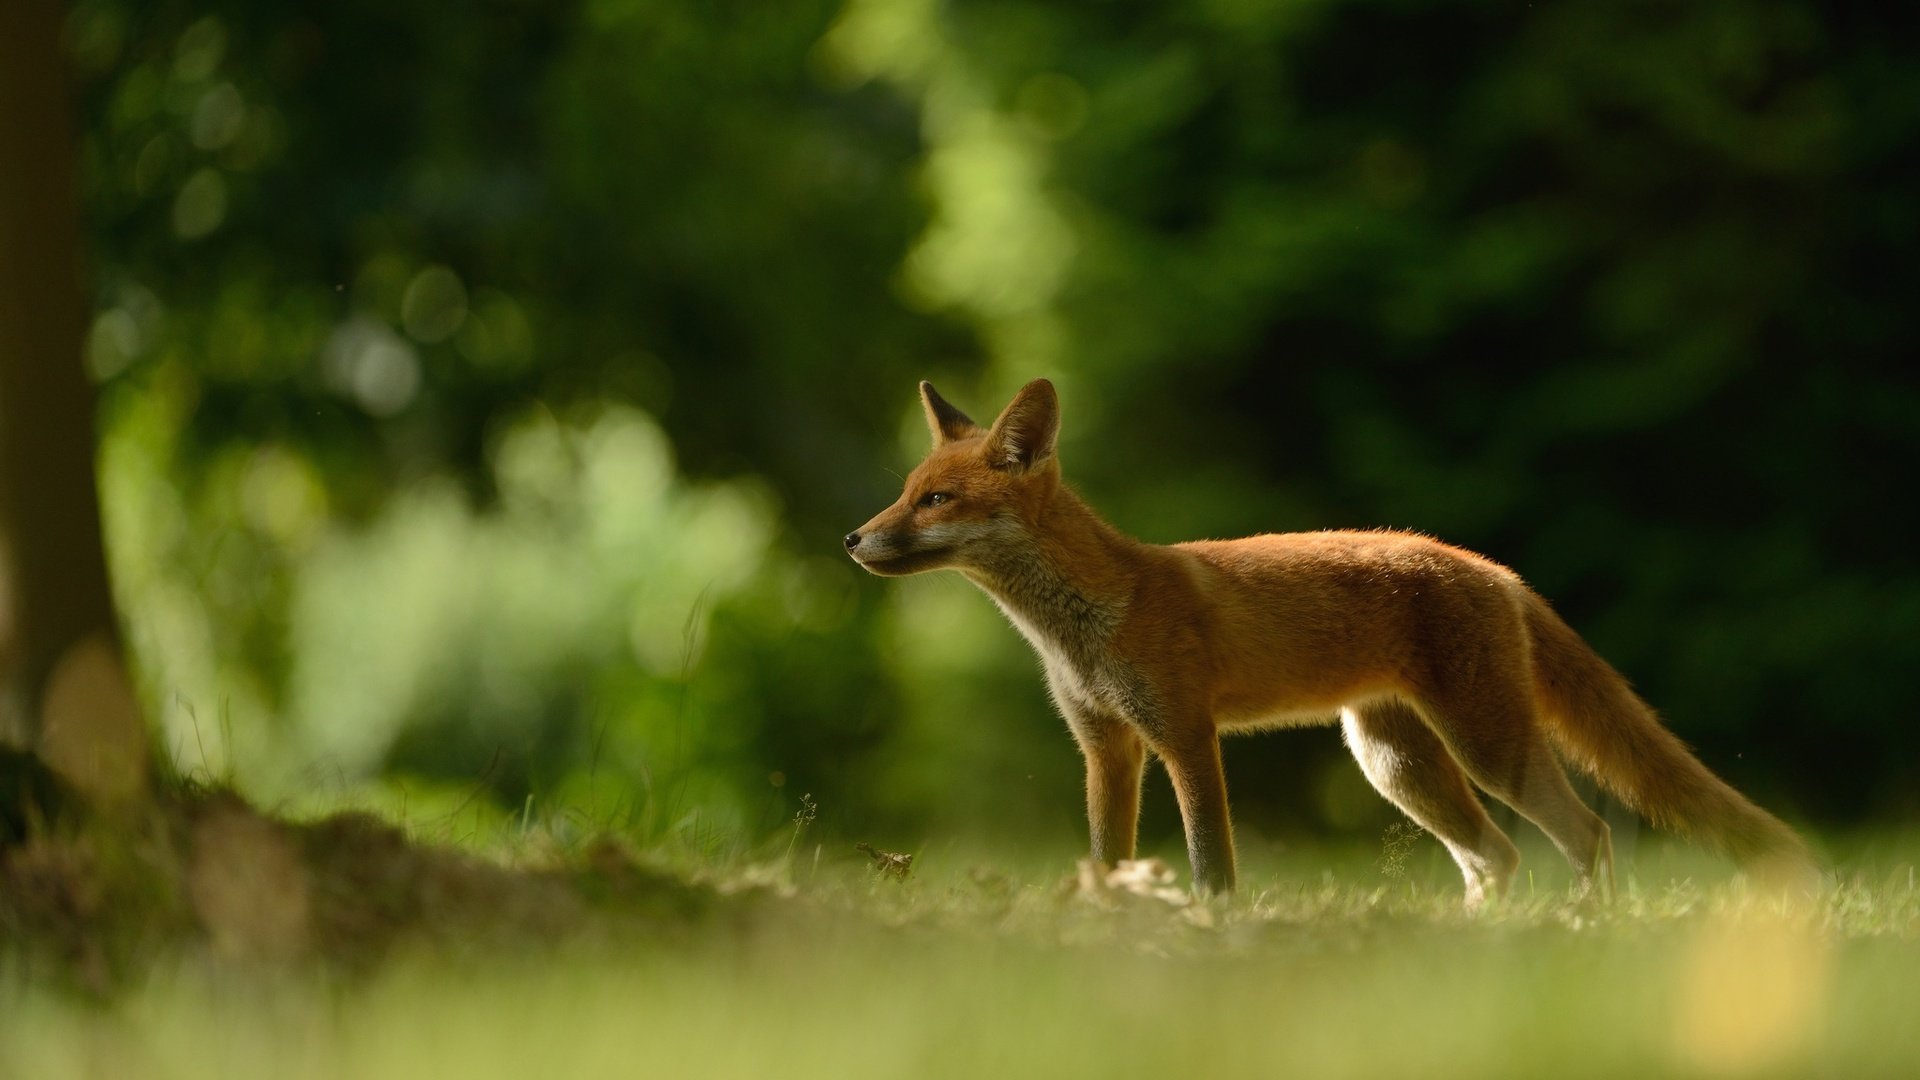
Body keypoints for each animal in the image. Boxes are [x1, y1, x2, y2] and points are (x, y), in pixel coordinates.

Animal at [848, 378, 1820, 899]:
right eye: (905, 491)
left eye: (936, 501)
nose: (853, 539)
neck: (1081, 626)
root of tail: (1491, 567)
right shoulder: (1107, 750)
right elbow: (1106, 861)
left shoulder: (1185, 738)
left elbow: (1211, 863)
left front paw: (1210, 932)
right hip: (1397, 764)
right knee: (1495, 857)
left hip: (1485, 746)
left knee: (1584, 836)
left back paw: (1584, 932)